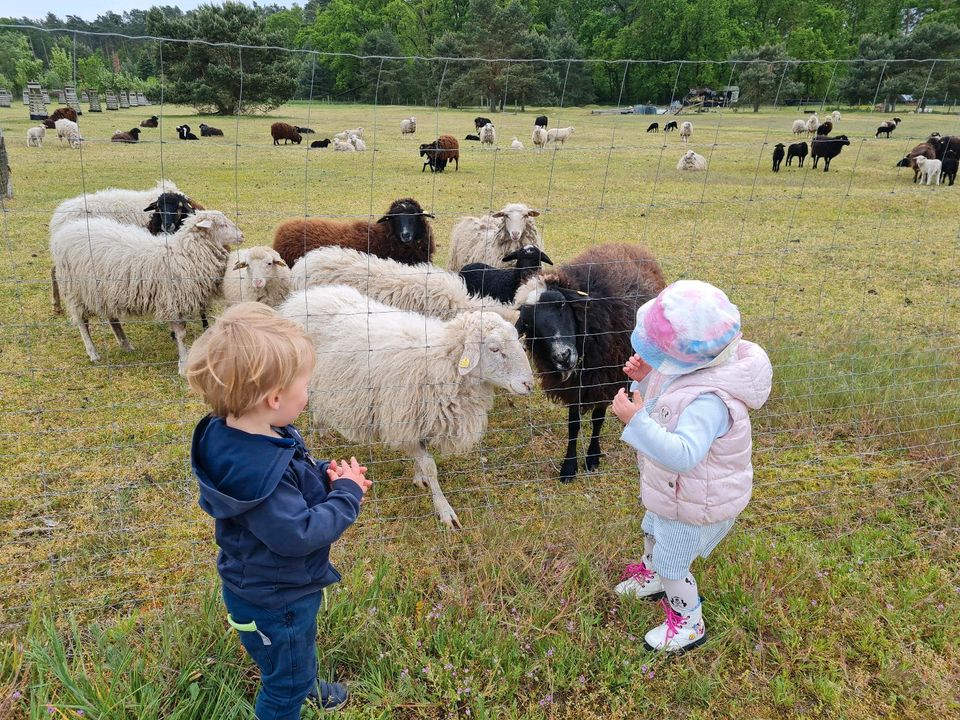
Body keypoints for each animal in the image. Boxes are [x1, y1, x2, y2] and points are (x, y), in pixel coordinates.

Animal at [48, 208, 244, 374]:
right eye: (222, 225)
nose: (242, 235)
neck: (186, 253)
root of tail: (66, 231)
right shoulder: (173, 301)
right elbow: (181, 334)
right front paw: (183, 364)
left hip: (106, 290)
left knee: (112, 318)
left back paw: (126, 345)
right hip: (75, 290)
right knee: (82, 322)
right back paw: (93, 353)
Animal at [278, 282, 536, 528]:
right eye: (494, 349)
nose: (529, 384)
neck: (441, 362)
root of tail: (303, 297)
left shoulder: (423, 420)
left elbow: (423, 461)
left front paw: (419, 478)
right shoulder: (403, 422)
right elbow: (430, 466)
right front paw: (444, 510)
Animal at [512, 243, 664, 484]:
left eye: (561, 303)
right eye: (528, 323)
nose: (563, 356)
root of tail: (627, 245)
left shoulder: (604, 378)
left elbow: (597, 419)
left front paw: (592, 456)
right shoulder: (576, 386)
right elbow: (573, 424)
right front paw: (569, 466)